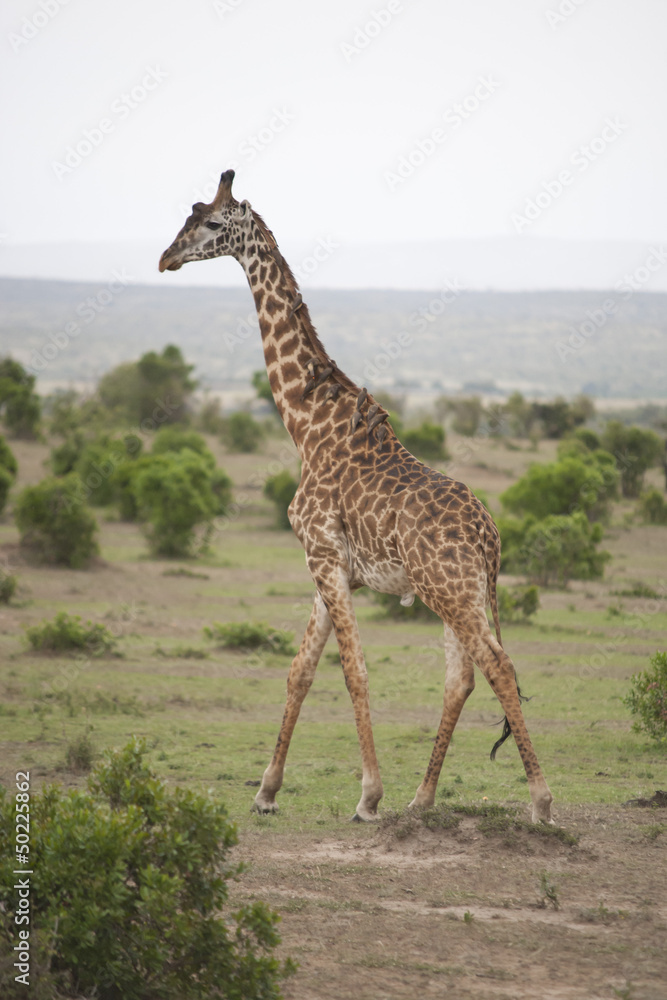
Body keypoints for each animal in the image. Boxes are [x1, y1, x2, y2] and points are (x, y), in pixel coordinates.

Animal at [159, 169, 554, 825]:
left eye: (212, 223)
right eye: (186, 216)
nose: (166, 257)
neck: (306, 424)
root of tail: (491, 537)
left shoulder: (322, 555)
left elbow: (354, 671)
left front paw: (368, 797)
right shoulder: (331, 567)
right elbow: (300, 671)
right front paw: (266, 792)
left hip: (450, 590)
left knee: (497, 663)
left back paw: (541, 801)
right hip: (459, 591)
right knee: (462, 676)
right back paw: (423, 799)